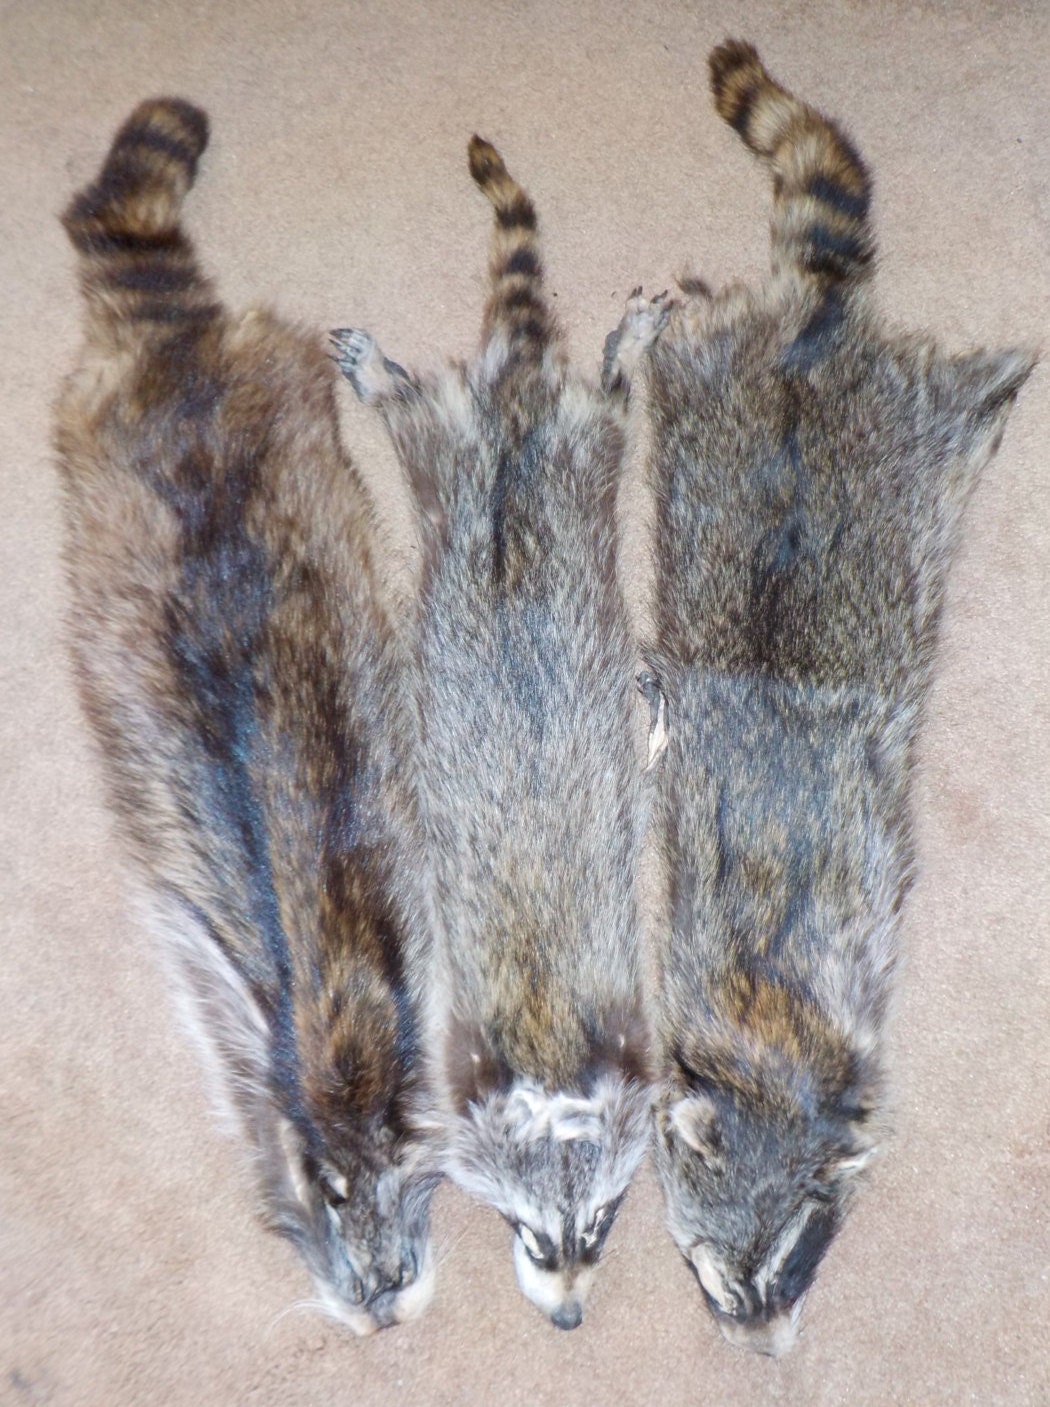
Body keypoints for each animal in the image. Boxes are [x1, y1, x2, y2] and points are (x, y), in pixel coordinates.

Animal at [332, 139, 662, 1329]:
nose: (567, 1319)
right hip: (462, 453)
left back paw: (619, 356)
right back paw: (389, 381)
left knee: (609, 404)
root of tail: (516, 406)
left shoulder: (625, 1016)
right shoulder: (462, 1040)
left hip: (570, 450)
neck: (554, 1048)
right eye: (528, 1231)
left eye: (599, 1227)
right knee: (421, 417)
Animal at [634, 42, 1035, 1355]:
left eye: (791, 1266)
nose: (761, 1351)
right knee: (702, 341)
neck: (768, 1042)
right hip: (732, 392)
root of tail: (813, 333)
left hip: (896, 421)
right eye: (719, 1272)